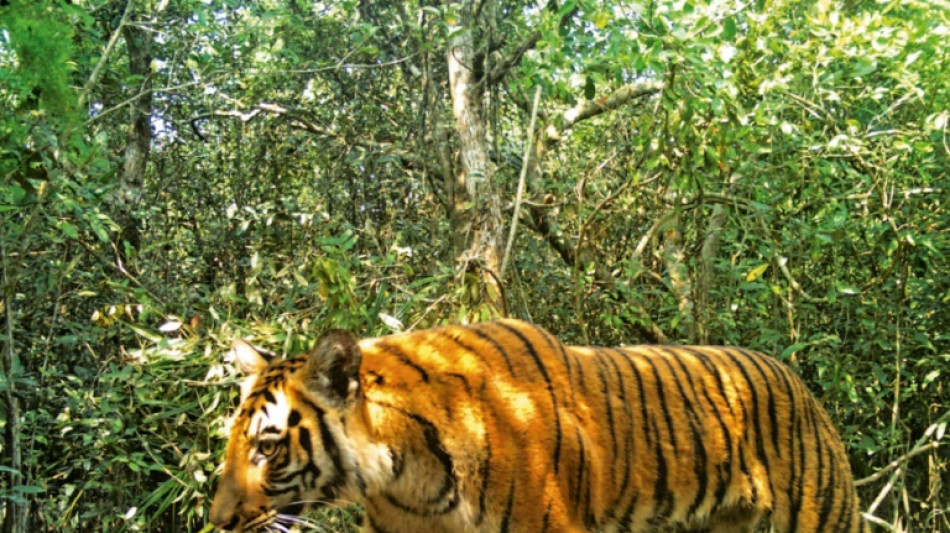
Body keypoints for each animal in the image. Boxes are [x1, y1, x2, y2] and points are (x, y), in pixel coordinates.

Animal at [209, 318, 868, 533]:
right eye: (232, 445)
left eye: (267, 448)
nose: (216, 524)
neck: (407, 480)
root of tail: (797, 377)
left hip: (824, 516)